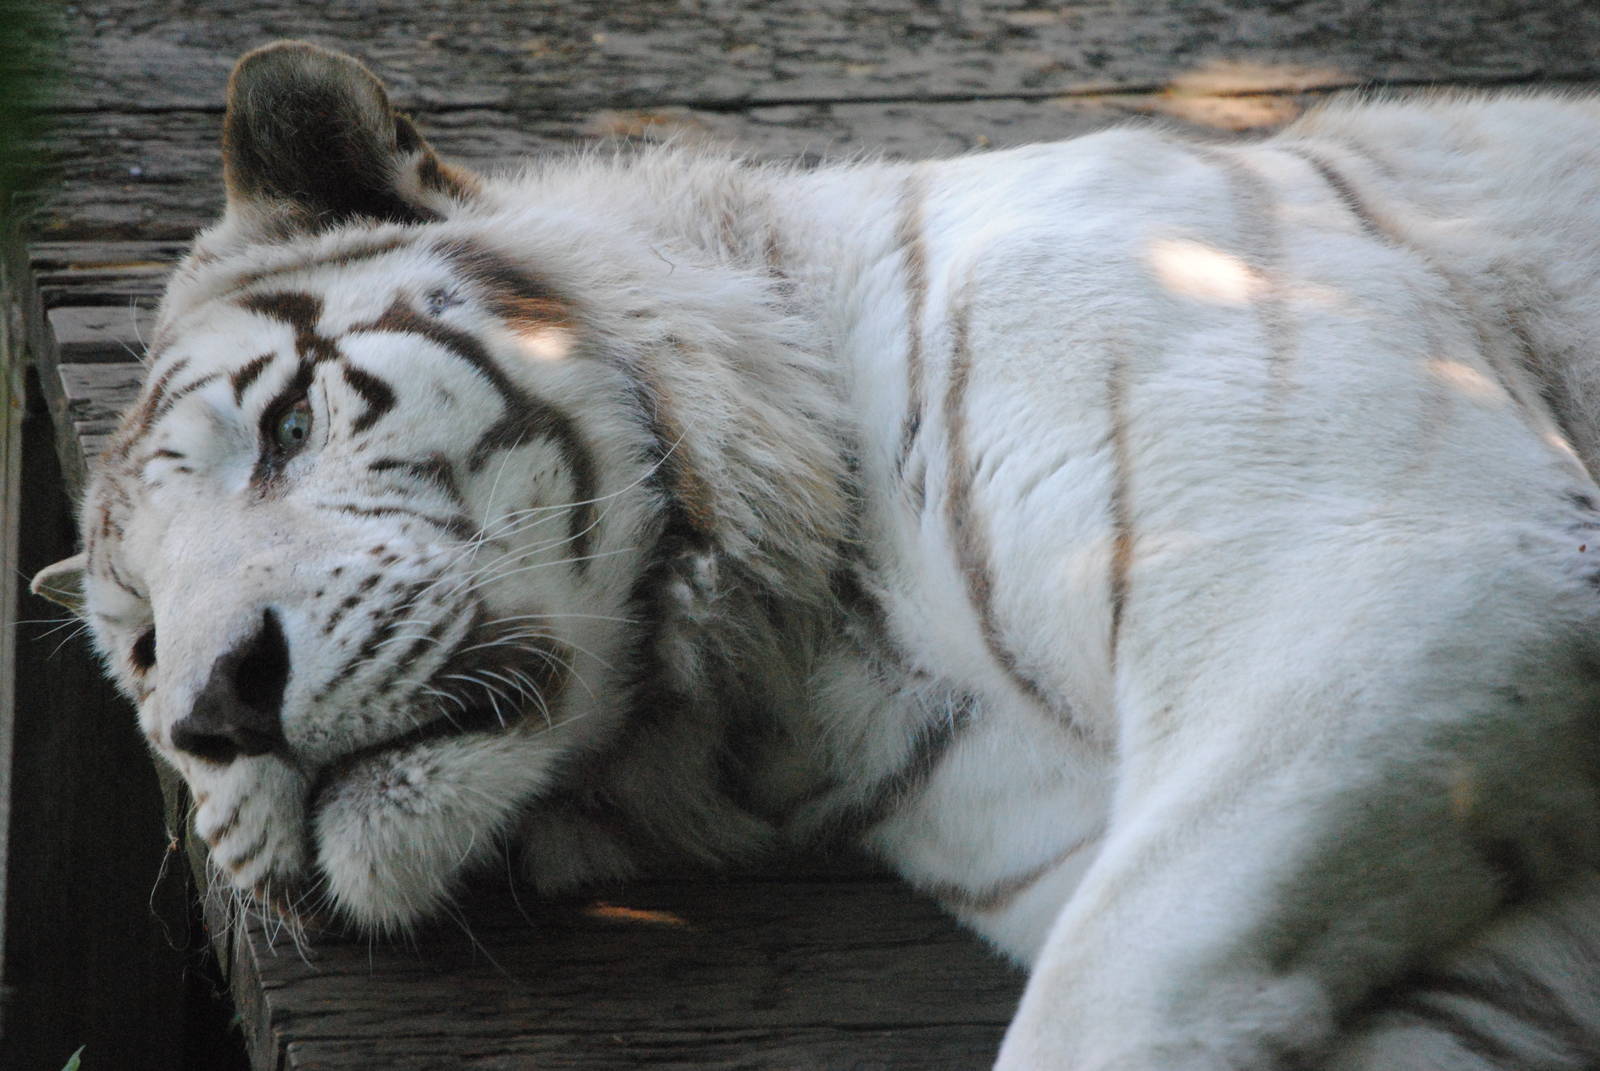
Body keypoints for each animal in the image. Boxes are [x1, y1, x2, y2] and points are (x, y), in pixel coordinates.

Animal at [30, 39, 1600, 1068]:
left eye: (289, 425)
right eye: (145, 650)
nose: (219, 707)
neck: (808, 662)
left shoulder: (1401, 556)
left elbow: (1110, 995)